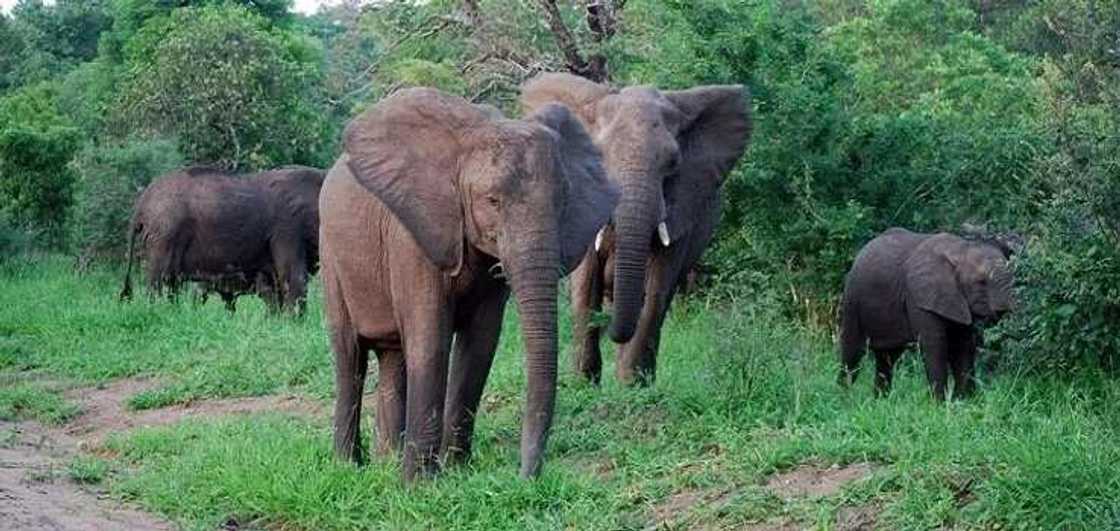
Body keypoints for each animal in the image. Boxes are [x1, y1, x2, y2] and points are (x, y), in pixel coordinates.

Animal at [120, 162, 327, 311]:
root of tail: (141, 204)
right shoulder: (288, 227)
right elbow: (294, 278)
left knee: (171, 284)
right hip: (164, 233)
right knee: (160, 280)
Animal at [322, 87, 622, 481]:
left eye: (562, 203)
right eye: (492, 201)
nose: (527, 477)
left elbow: (480, 345)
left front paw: (456, 473)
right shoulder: (412, 239)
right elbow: (431, 341)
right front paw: (420, 485)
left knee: (393, 356)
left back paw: (386, 463)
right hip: (331, 256)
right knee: (349, 356)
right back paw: (348, 467)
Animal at [521, 71, 752, 385]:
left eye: (673, 162)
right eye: (600, 155)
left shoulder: (682, 209)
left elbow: (655, 290)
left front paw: (632, 385)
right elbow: (585, 286)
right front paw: (583, 384)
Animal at [842, 227, 1016, 398]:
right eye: (981, 282)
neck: (960, 251)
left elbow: (963, 346)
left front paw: (966, 400)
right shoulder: (919, 298)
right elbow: (935, 346)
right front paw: (939, 403)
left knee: (887, 357)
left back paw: (880, 400)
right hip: (852, 300)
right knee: (852, 353)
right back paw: (844, 396)